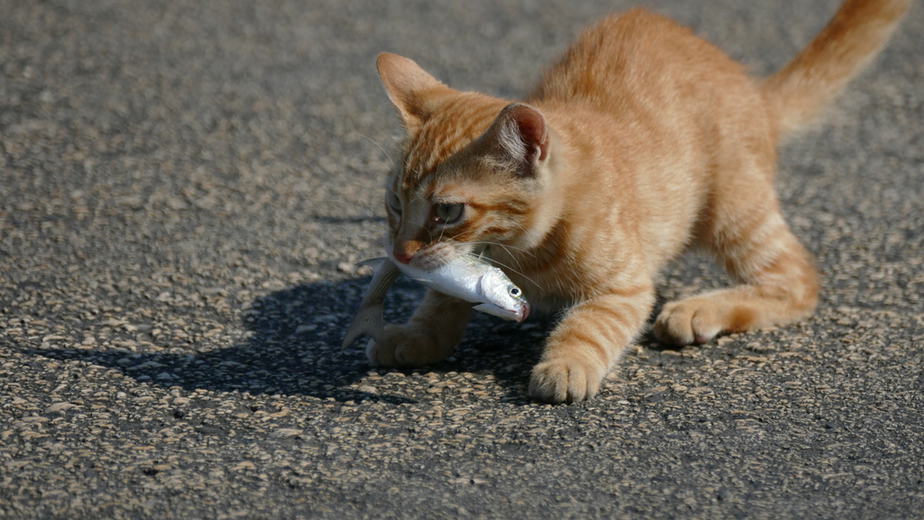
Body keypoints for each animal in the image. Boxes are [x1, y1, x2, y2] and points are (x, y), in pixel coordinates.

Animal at [364, 0, 904, 404]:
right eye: (395, 203)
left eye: (447, 211)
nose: (400, 254)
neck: (523, 249)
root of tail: (749, 86)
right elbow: (440, 301)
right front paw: (416, 335)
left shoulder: (624, 288)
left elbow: (589, 325)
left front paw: (566, 363)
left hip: (733, 210)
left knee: (797, 280)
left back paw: (699, 310)